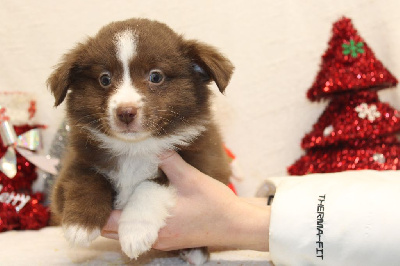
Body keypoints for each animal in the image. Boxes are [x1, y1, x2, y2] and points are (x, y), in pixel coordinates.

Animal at [47, 18, 234, 264]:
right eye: (104, 79)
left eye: (155, 76)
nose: (126, 112)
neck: (134, 149)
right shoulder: (74, 164)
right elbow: (87, 178)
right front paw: (80, 225)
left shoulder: (203, 163)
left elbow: (151, 183)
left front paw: (135, 232)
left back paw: (196, 252)